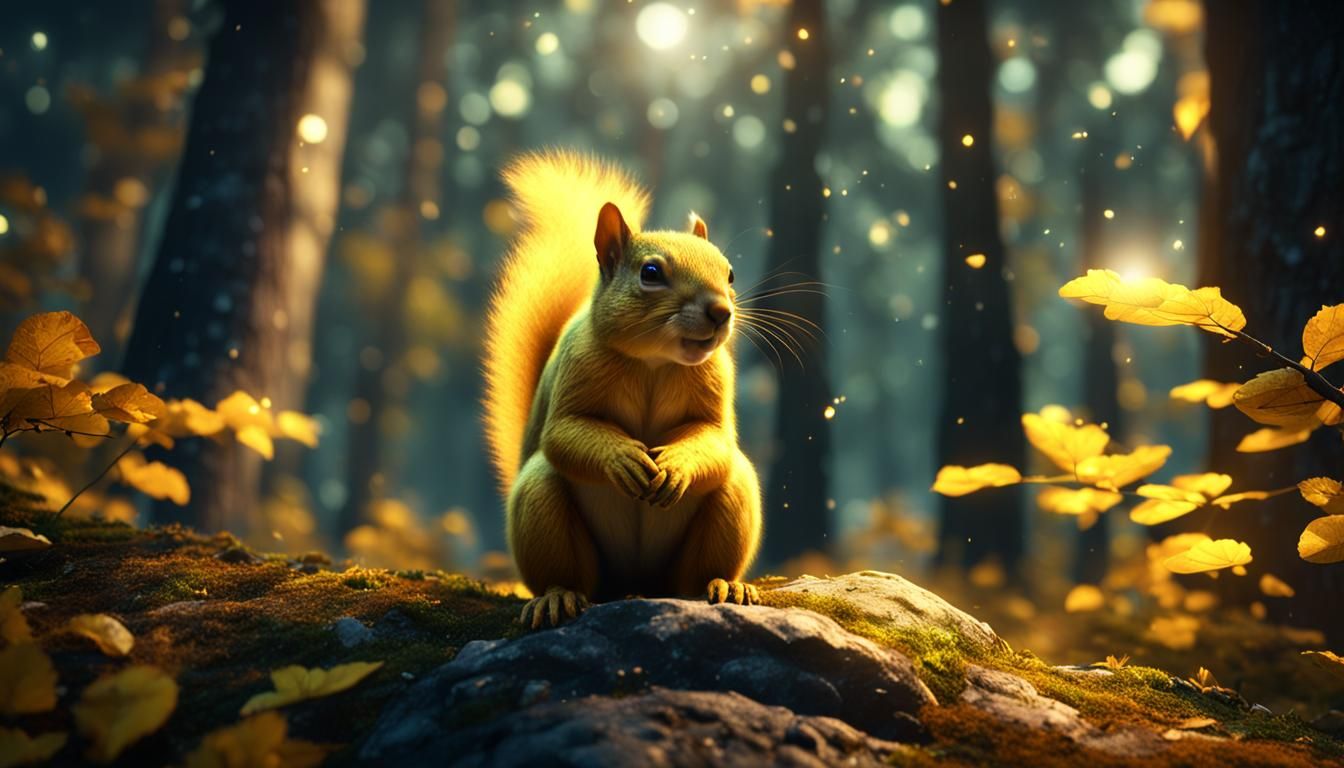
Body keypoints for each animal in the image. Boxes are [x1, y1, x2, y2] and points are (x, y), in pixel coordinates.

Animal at [482, 150, 763, 629]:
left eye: (730, 273)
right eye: (650, 272)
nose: (721, 312)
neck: (655, 363)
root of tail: (636, 584)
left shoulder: (716, 381)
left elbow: (716, 440)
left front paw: (676, 465)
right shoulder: (577, 368)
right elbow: (564, 432)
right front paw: (624, 458)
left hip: (723, 512)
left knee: (699, 568)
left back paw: (726, 585)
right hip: (544, 506)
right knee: (567, 571)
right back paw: (556, 598)